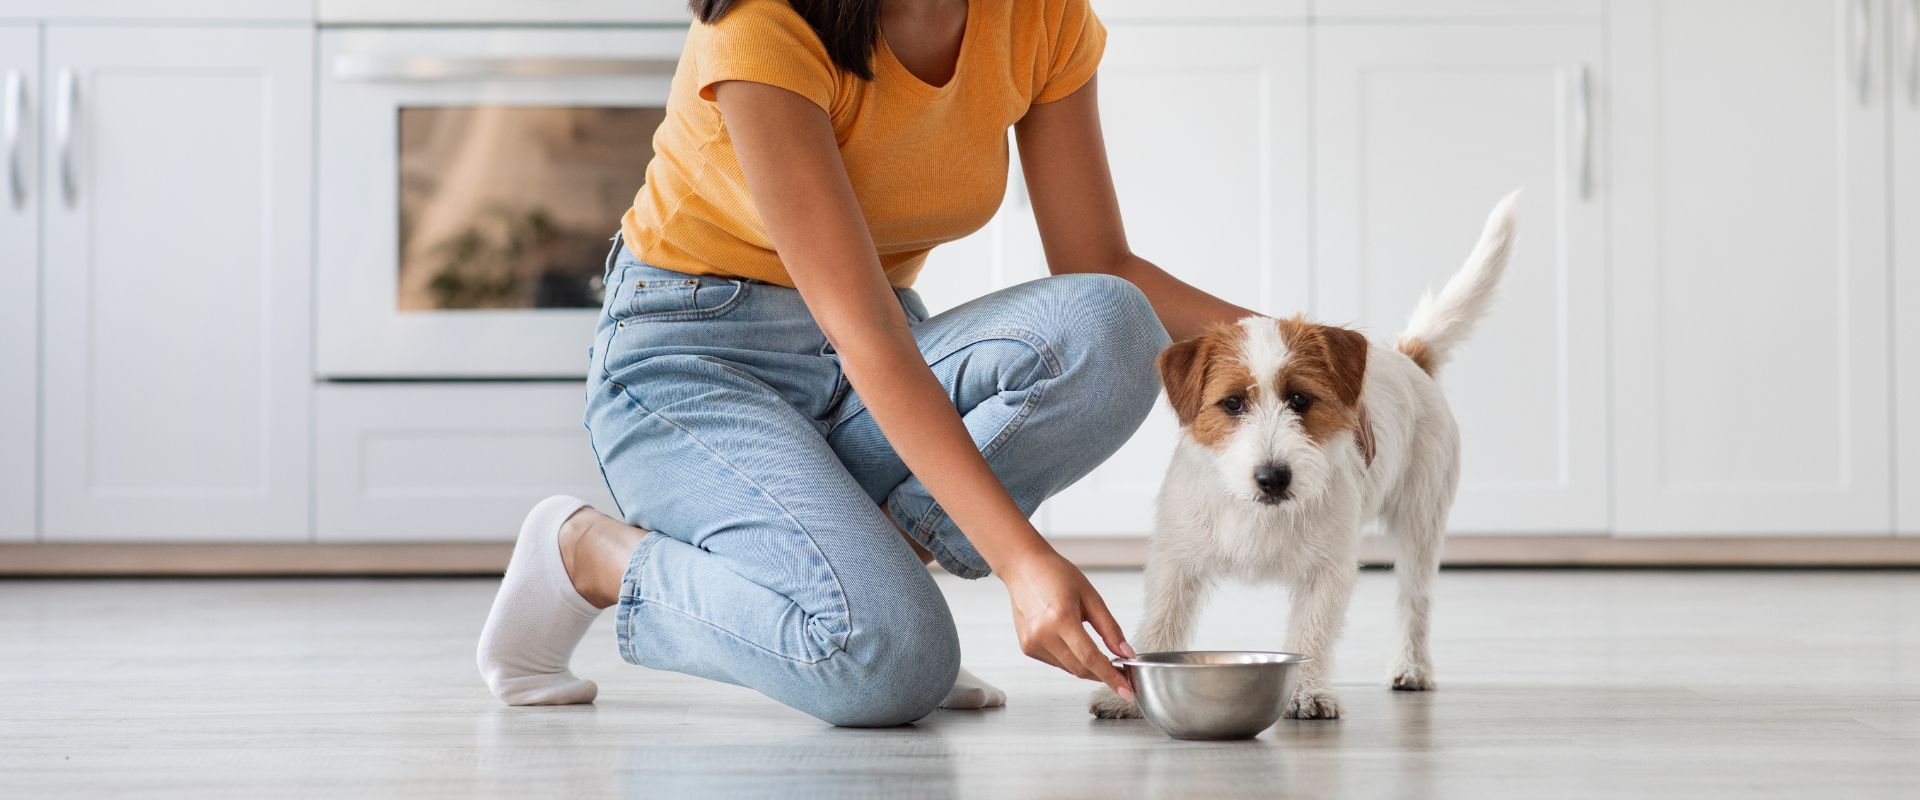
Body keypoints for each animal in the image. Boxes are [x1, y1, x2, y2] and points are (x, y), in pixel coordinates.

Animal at [1090, 191, 1520, 717]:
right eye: (1233, 403)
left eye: (1300, 400)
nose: (1274, 477)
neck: (1256, 511)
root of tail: (1407, 356)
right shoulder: (1177, 562)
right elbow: (1160, 623)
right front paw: (1128, 696)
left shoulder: (1327, 570)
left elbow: (1311, 632)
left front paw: (1307, 691)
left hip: (1421, 523)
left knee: (1414, 601)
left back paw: (1411, 668)